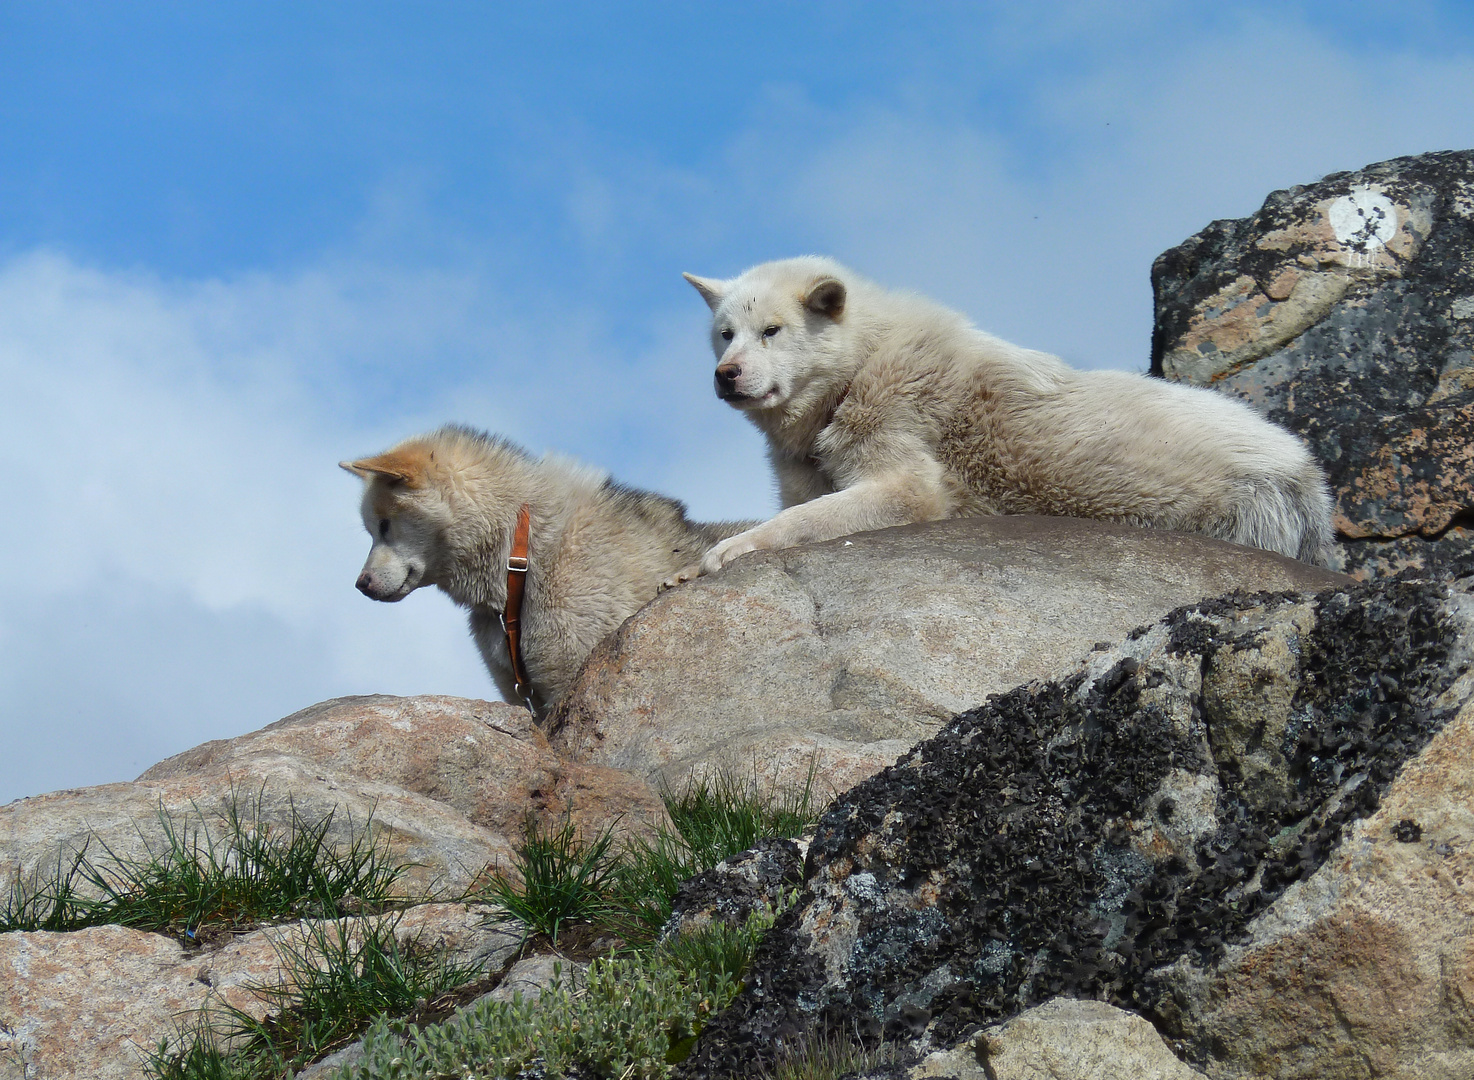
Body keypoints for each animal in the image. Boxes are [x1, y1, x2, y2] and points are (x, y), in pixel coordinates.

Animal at [344, 424, 748, 716]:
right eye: (372, 529)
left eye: (384, 525)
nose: (361, 584)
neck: (524, 555)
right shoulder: (524, 696)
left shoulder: (570, 679)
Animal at [672, 254, 1338, 580]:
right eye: (724, 333)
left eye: (772, 330)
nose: (727, 375)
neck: (859, 366)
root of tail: (1310, 480)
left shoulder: (901, 439)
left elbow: (853, 506)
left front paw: (726, 552)